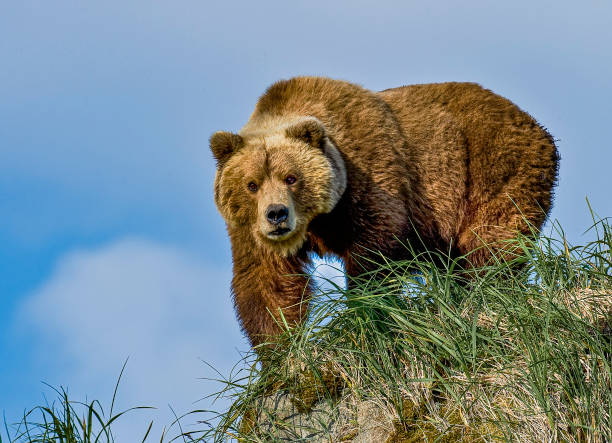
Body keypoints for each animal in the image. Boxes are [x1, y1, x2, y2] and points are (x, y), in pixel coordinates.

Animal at [210, 76, 560, 348]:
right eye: (252, 184)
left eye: (291, 177)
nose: (277, 214)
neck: (318, 221)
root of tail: (535, 124)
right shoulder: (249, 230)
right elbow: (266, 283)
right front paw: (277, 349)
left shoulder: (370, 176)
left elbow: (375, 252)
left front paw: (364, 312)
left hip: (492, 167)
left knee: (489, 244)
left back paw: (484, 295)